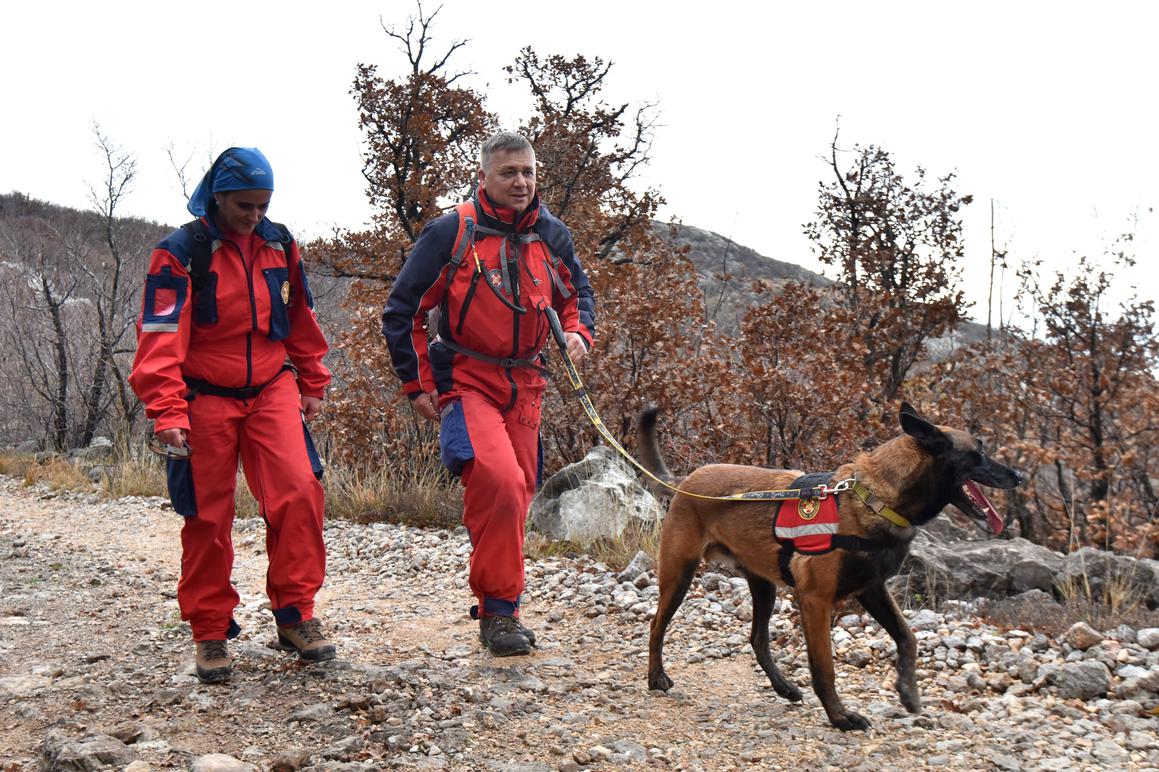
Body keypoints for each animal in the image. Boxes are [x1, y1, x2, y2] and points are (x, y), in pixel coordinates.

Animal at [644, 398, 1024, 732]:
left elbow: (908, 636)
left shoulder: (872, 589)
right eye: (978, 453)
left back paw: (784, 688)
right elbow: (824, 668)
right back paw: (655, 677)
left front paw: (908, 691)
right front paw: (841, 718)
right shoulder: (816, 600)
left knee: (758, 639)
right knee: (656, 625)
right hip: (679, 574)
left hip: (763, 585)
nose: (1019, 476)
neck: (875, 499)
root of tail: (686, 481)